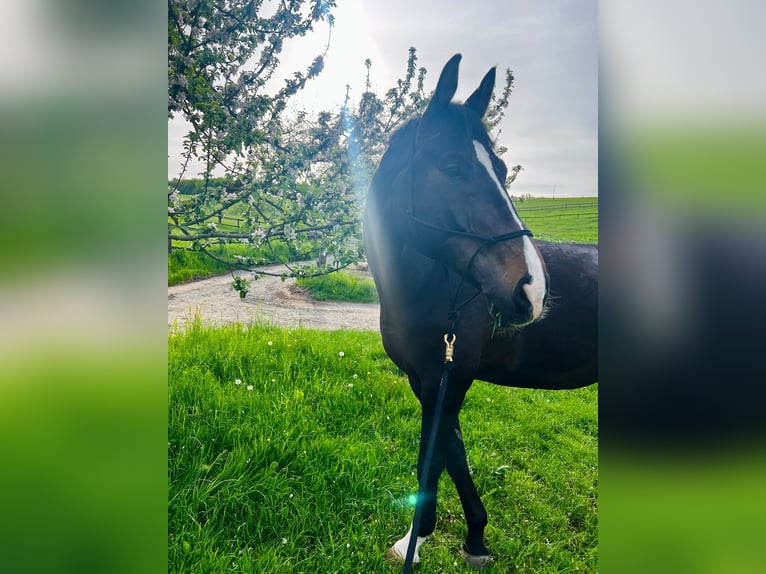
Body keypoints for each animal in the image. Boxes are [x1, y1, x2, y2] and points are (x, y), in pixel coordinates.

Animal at [363, 54, 597, 570]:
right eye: (452, 167)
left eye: (503, 167)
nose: (533, 290)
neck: (435, 289)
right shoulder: (430, 379)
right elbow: (453, 453)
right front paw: (474, 538)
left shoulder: (449, 379)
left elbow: (432, 460)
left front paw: (414, 541)